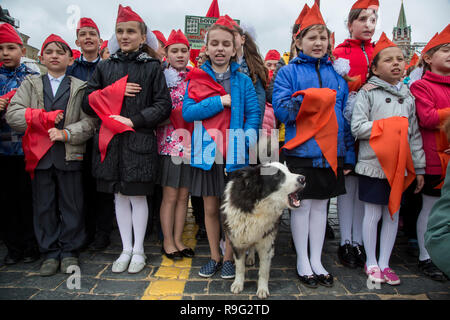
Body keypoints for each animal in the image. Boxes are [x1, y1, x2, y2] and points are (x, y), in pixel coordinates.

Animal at [221, 162, 306, 300]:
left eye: (288, 171)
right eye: (277, 175)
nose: (303, 178)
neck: (256, 206)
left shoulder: (266, 242)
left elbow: (264, 271)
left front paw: (262, 289)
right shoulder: (237, 240)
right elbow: (240, 267)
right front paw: (238, 284)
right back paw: (250, 257)